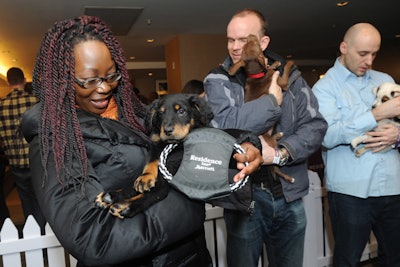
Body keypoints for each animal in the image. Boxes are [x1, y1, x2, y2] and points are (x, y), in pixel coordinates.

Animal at [230, 34, 296, 184]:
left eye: (246, 43)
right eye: (253, 42)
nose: (251, 35)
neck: (256, 74)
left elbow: (269, 66)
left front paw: (274, 63)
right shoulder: (282, 83)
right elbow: (284, 72)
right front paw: (289, 63)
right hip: (271, 145)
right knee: (276, 166)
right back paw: (289, 178)